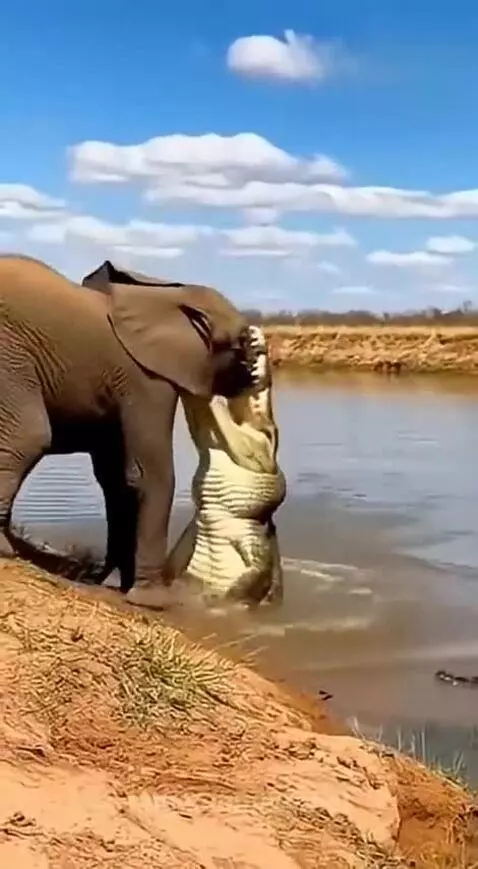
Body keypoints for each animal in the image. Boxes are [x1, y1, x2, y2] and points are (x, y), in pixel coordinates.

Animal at [0, 255, 254, 607]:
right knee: (29, 435)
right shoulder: (146, 379)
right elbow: (148, 473)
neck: (168, 295)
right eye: (243, 342)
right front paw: (152, 600)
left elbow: (115, 478)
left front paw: (113, 581)